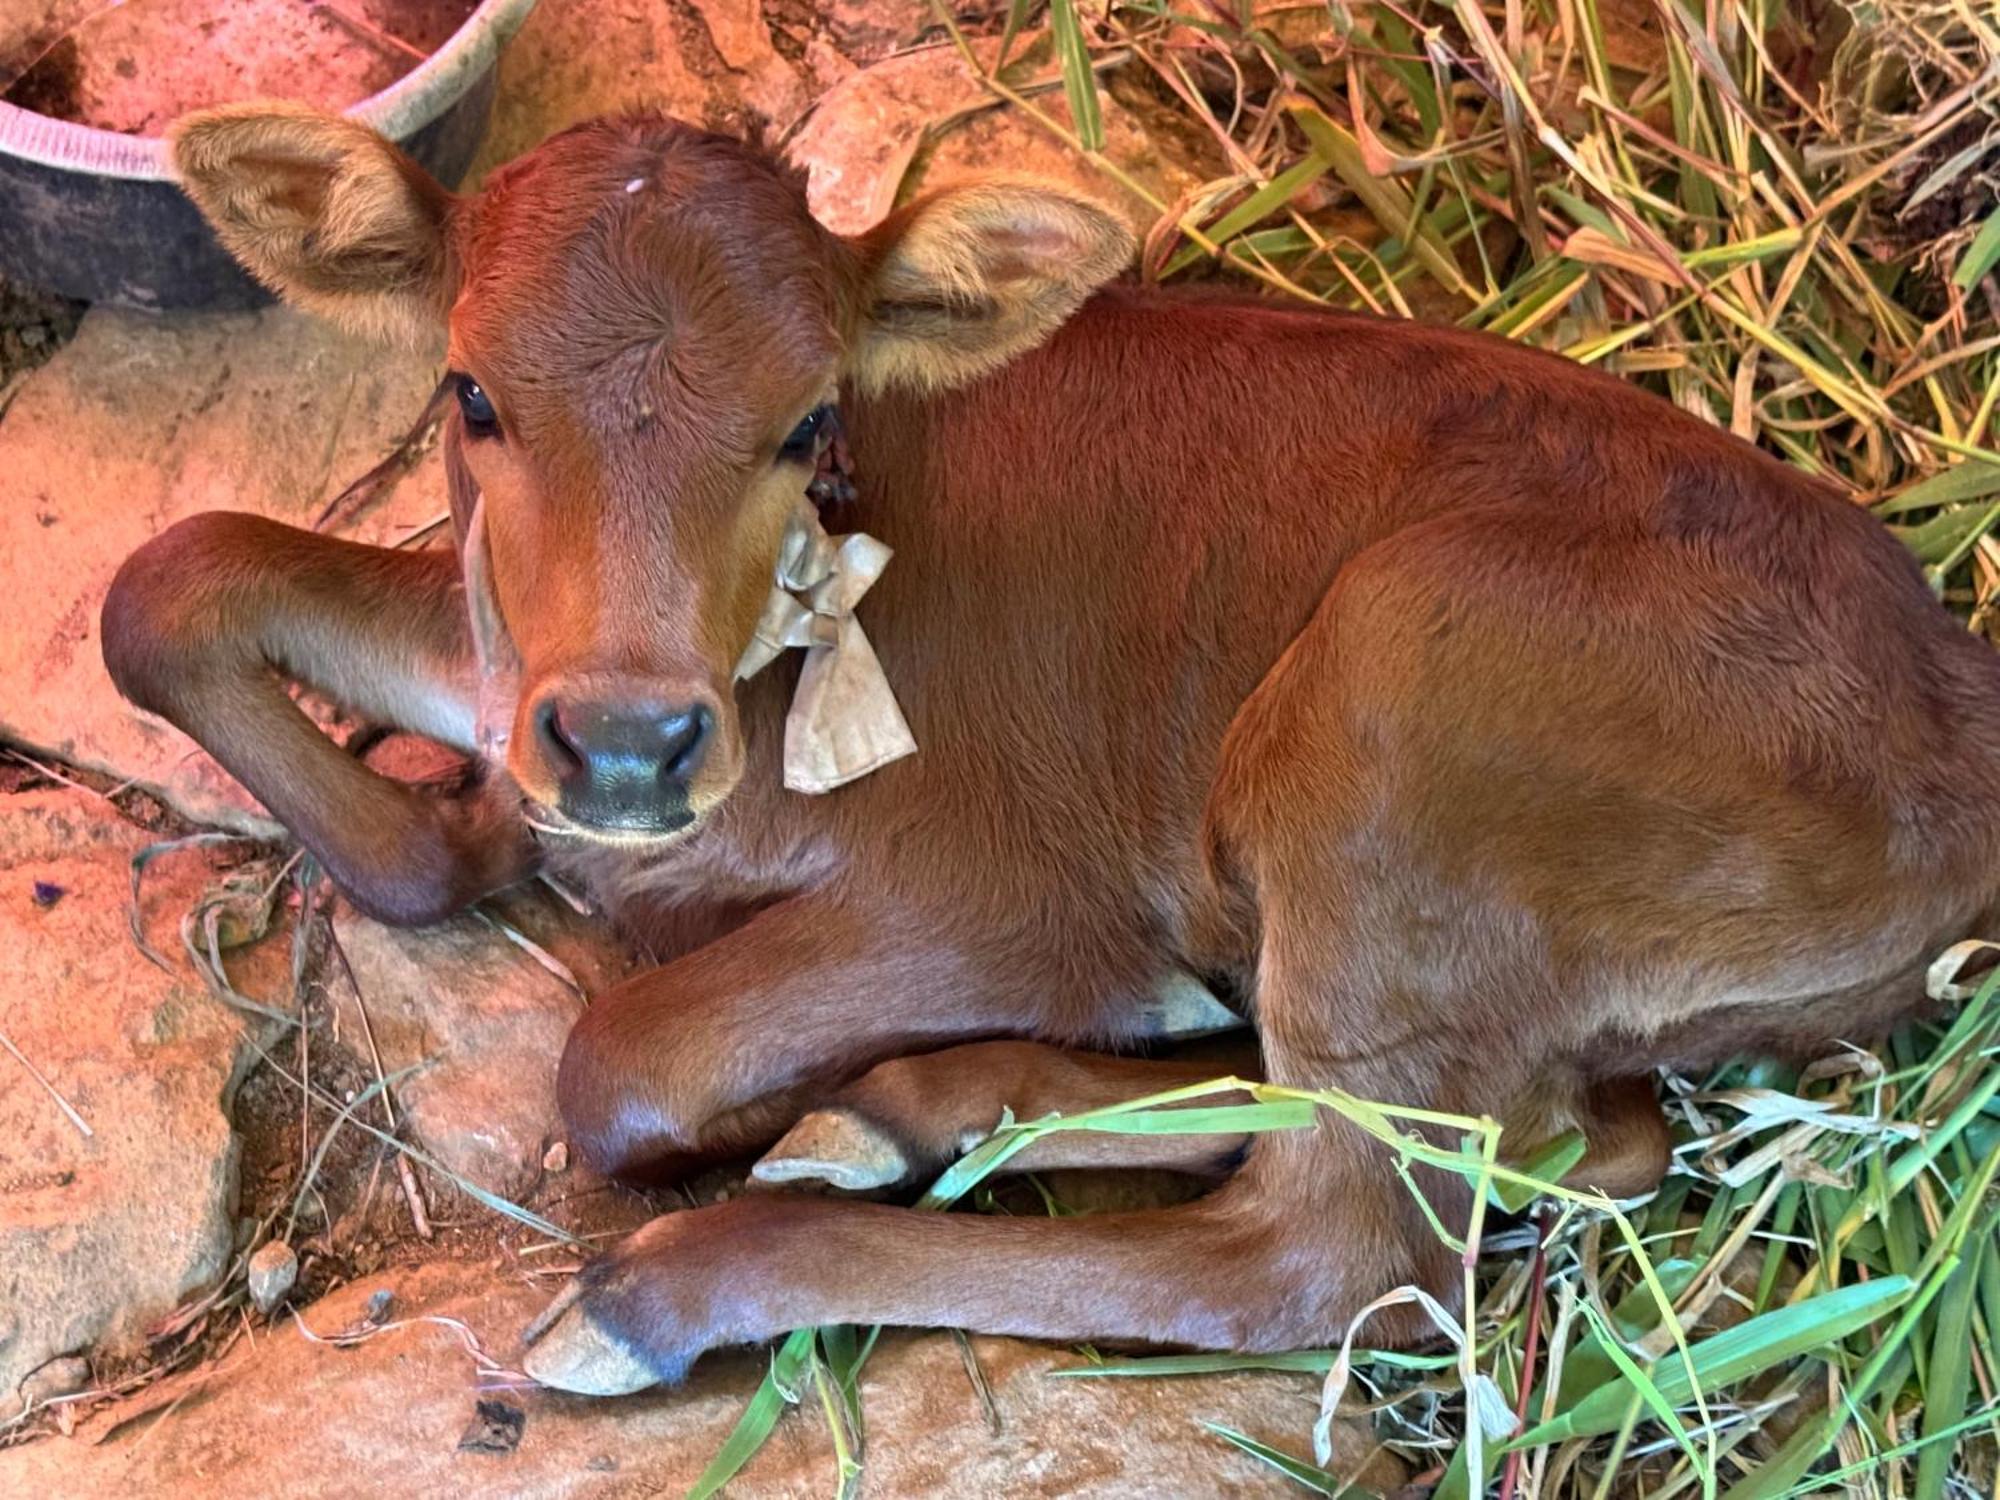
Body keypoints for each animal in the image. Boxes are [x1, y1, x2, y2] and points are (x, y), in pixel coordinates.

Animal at [105, 108, 2000, 1400]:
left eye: (807, 421)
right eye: (472, 394)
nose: (632, 748)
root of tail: (1958, 687)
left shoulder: (1005, 895)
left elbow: (621, 1059)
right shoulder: (511, 659)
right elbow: (171, 582)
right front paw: (473, 832)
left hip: (1394, 708)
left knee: (1326, 1251)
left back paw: (682, 1280)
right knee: (1572, 1135)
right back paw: (901, 1108)